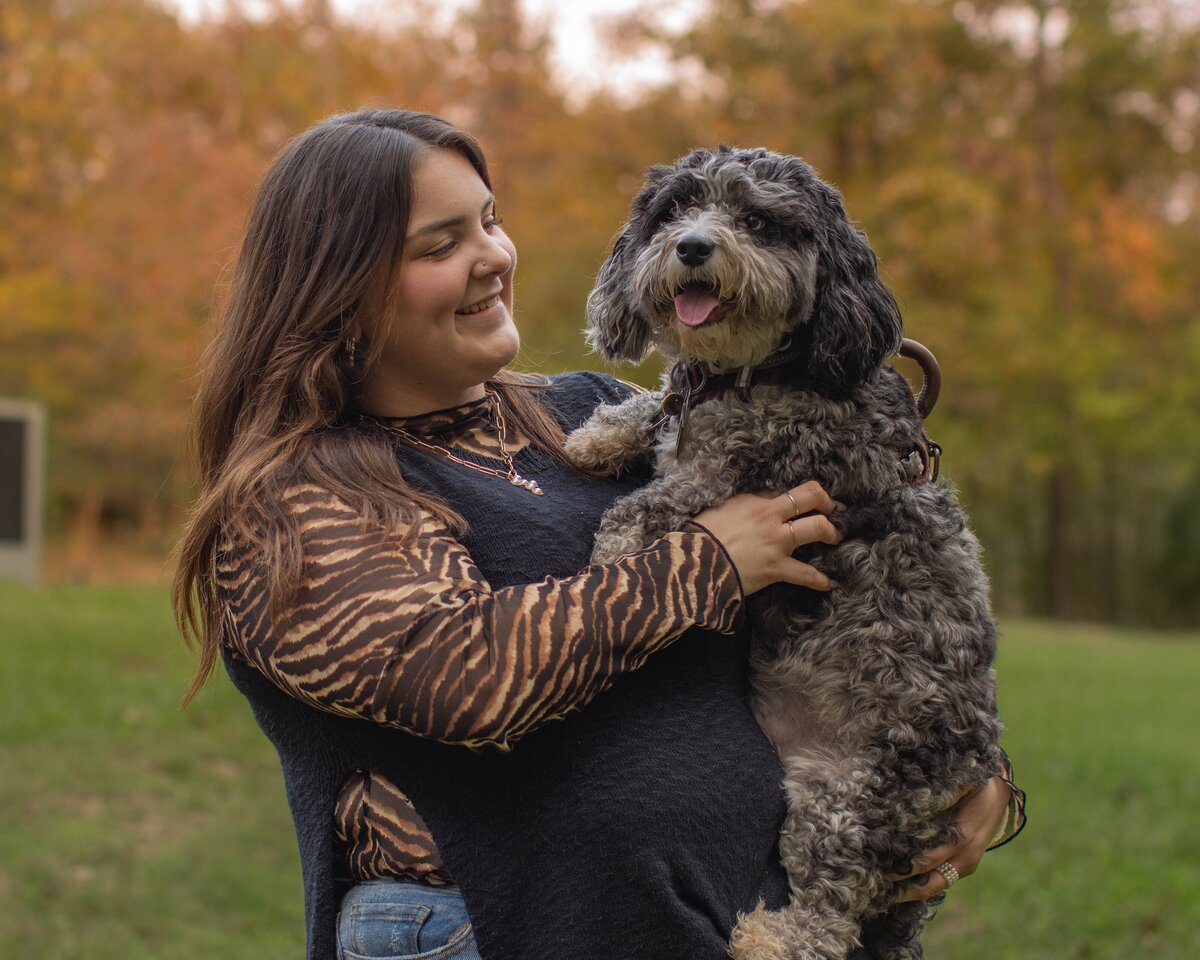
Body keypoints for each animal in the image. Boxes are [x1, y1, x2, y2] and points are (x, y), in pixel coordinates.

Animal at [561, 144, 1003, 960]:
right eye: (677, 208)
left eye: (759, 221)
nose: (692, 247)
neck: (751, 373)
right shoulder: (691, 423)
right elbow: (654, 403)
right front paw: (602, 433)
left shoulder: (732, 479)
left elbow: (636, 509)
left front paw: (609, 566)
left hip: (850, 800)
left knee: (830, 913)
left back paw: (769, 938)